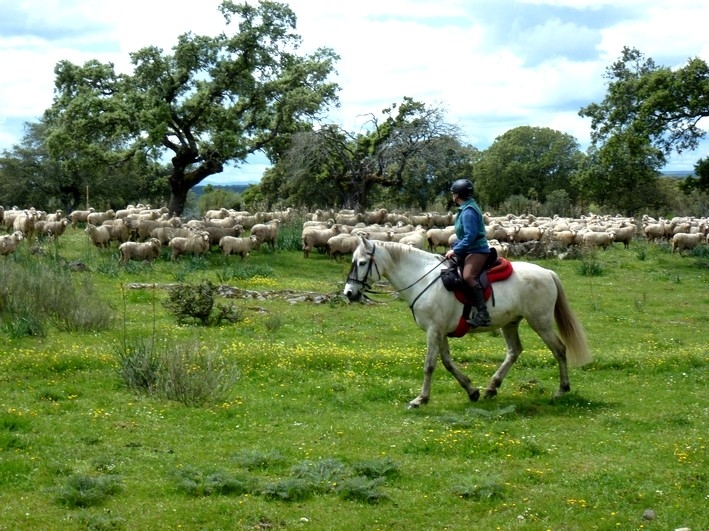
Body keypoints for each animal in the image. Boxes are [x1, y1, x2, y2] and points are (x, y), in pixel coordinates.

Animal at [342, 236, 592, 408]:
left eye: (362, 263)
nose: (349, 293)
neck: (423, 279)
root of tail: (547, 272)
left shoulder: (433, 330)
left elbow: (430, 365)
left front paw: (420, 399)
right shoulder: (440, 331)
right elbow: (447, 363)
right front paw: (472, 391)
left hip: (540, 322)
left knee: (559, 349)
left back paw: (561, 390)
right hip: (510, 323)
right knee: (514, 351)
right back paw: (492, 387)